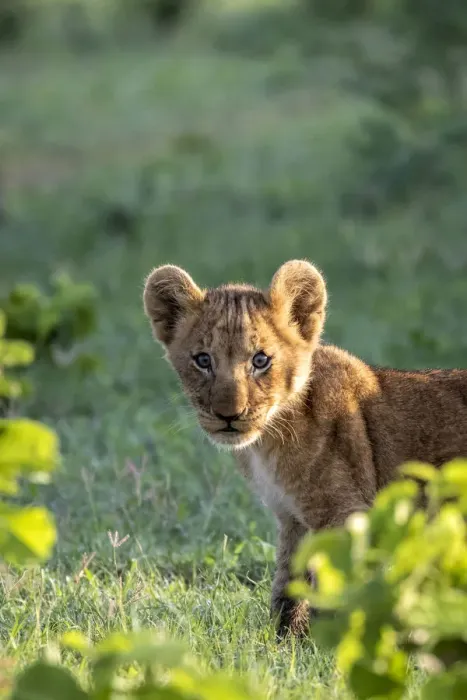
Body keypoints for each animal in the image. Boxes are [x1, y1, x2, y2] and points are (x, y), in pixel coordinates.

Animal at [143, 260, 467, 636]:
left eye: (260, 360)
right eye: (203, 360)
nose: (229, 415)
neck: (266, 444)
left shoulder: (343, 513)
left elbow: (331, 585)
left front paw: (321, 641)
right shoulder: (291, 518)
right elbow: (288, 583)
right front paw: (282, 641)